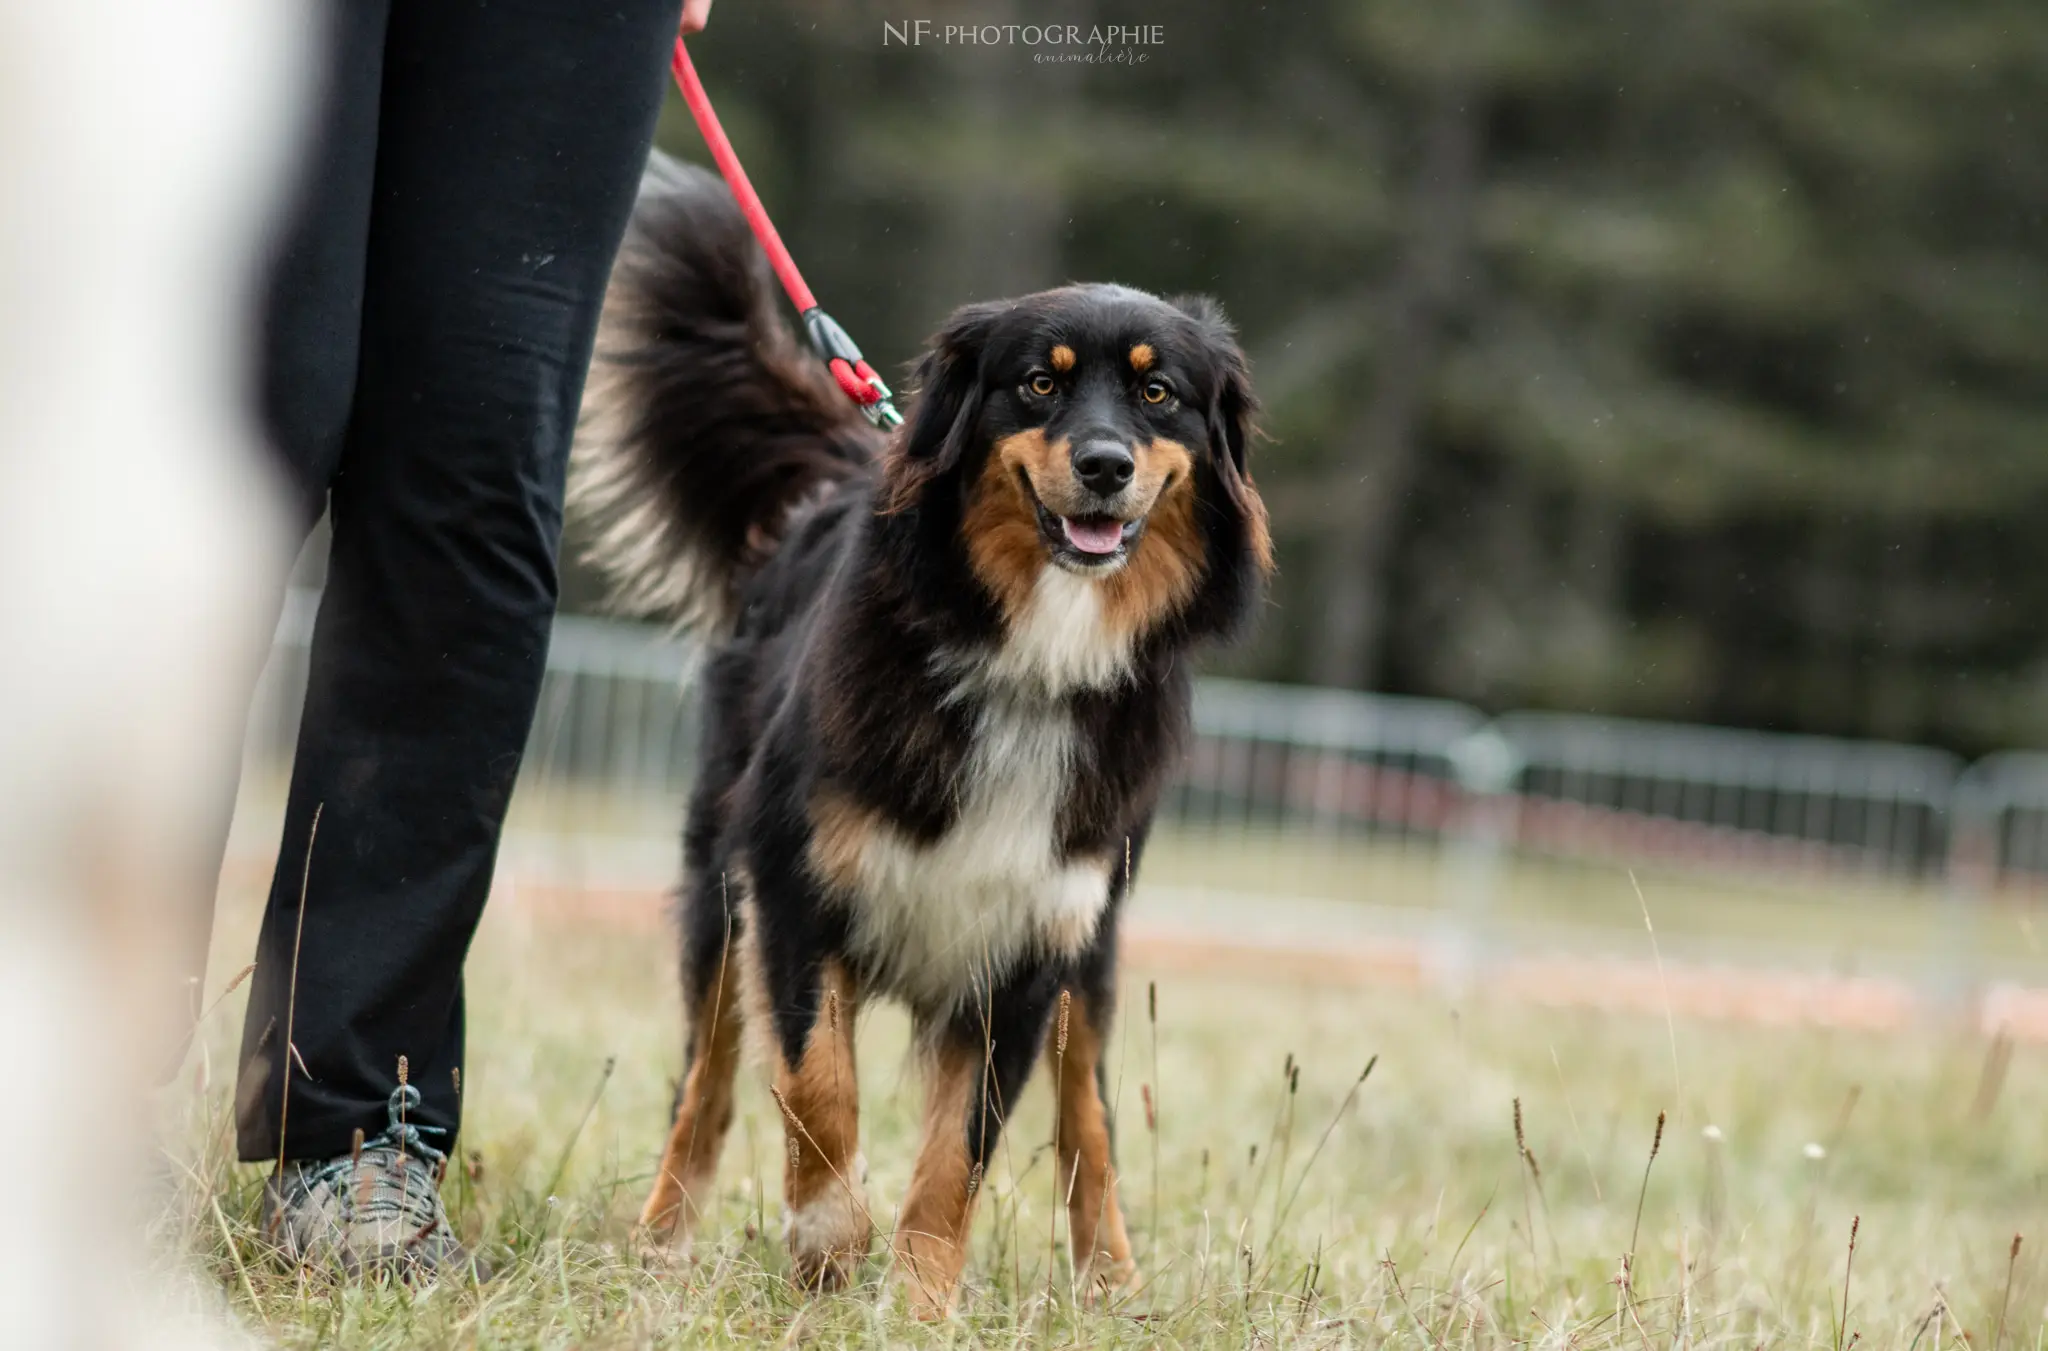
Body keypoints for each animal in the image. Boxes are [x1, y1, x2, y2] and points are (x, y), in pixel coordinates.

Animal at [577, 153, 1269, 1310]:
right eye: (1037, 382)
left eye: (1156, 392)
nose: (1104, 465)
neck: (1031, 656)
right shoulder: (794, 880)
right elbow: (817, 1091)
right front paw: (828, 1243)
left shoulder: (1034, 941)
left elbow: (960, 1153)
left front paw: (918, 1298)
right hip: (720, 884)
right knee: (705, 1084)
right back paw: (661, 1244)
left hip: (1094, 951)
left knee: (1088, 1116)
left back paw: (1111, 1277)